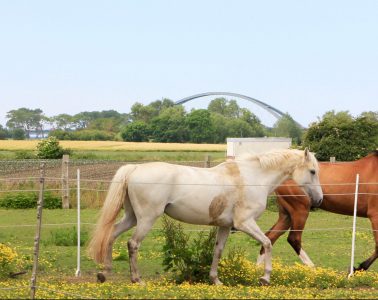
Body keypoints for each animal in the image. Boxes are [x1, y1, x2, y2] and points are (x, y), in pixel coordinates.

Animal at [88, 149, 322, 284]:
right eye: (312, 171)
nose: (318, 200)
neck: (253, 178)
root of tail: (135, 168)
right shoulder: (245, 223)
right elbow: (267, 243)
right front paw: (265, 278)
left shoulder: (225, 226)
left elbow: (217, 251)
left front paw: (215, 280)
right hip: (146, 219)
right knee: (133, 244)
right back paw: (136, 279)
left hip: (132, 217)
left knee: (111, 235)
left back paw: (105, 273)